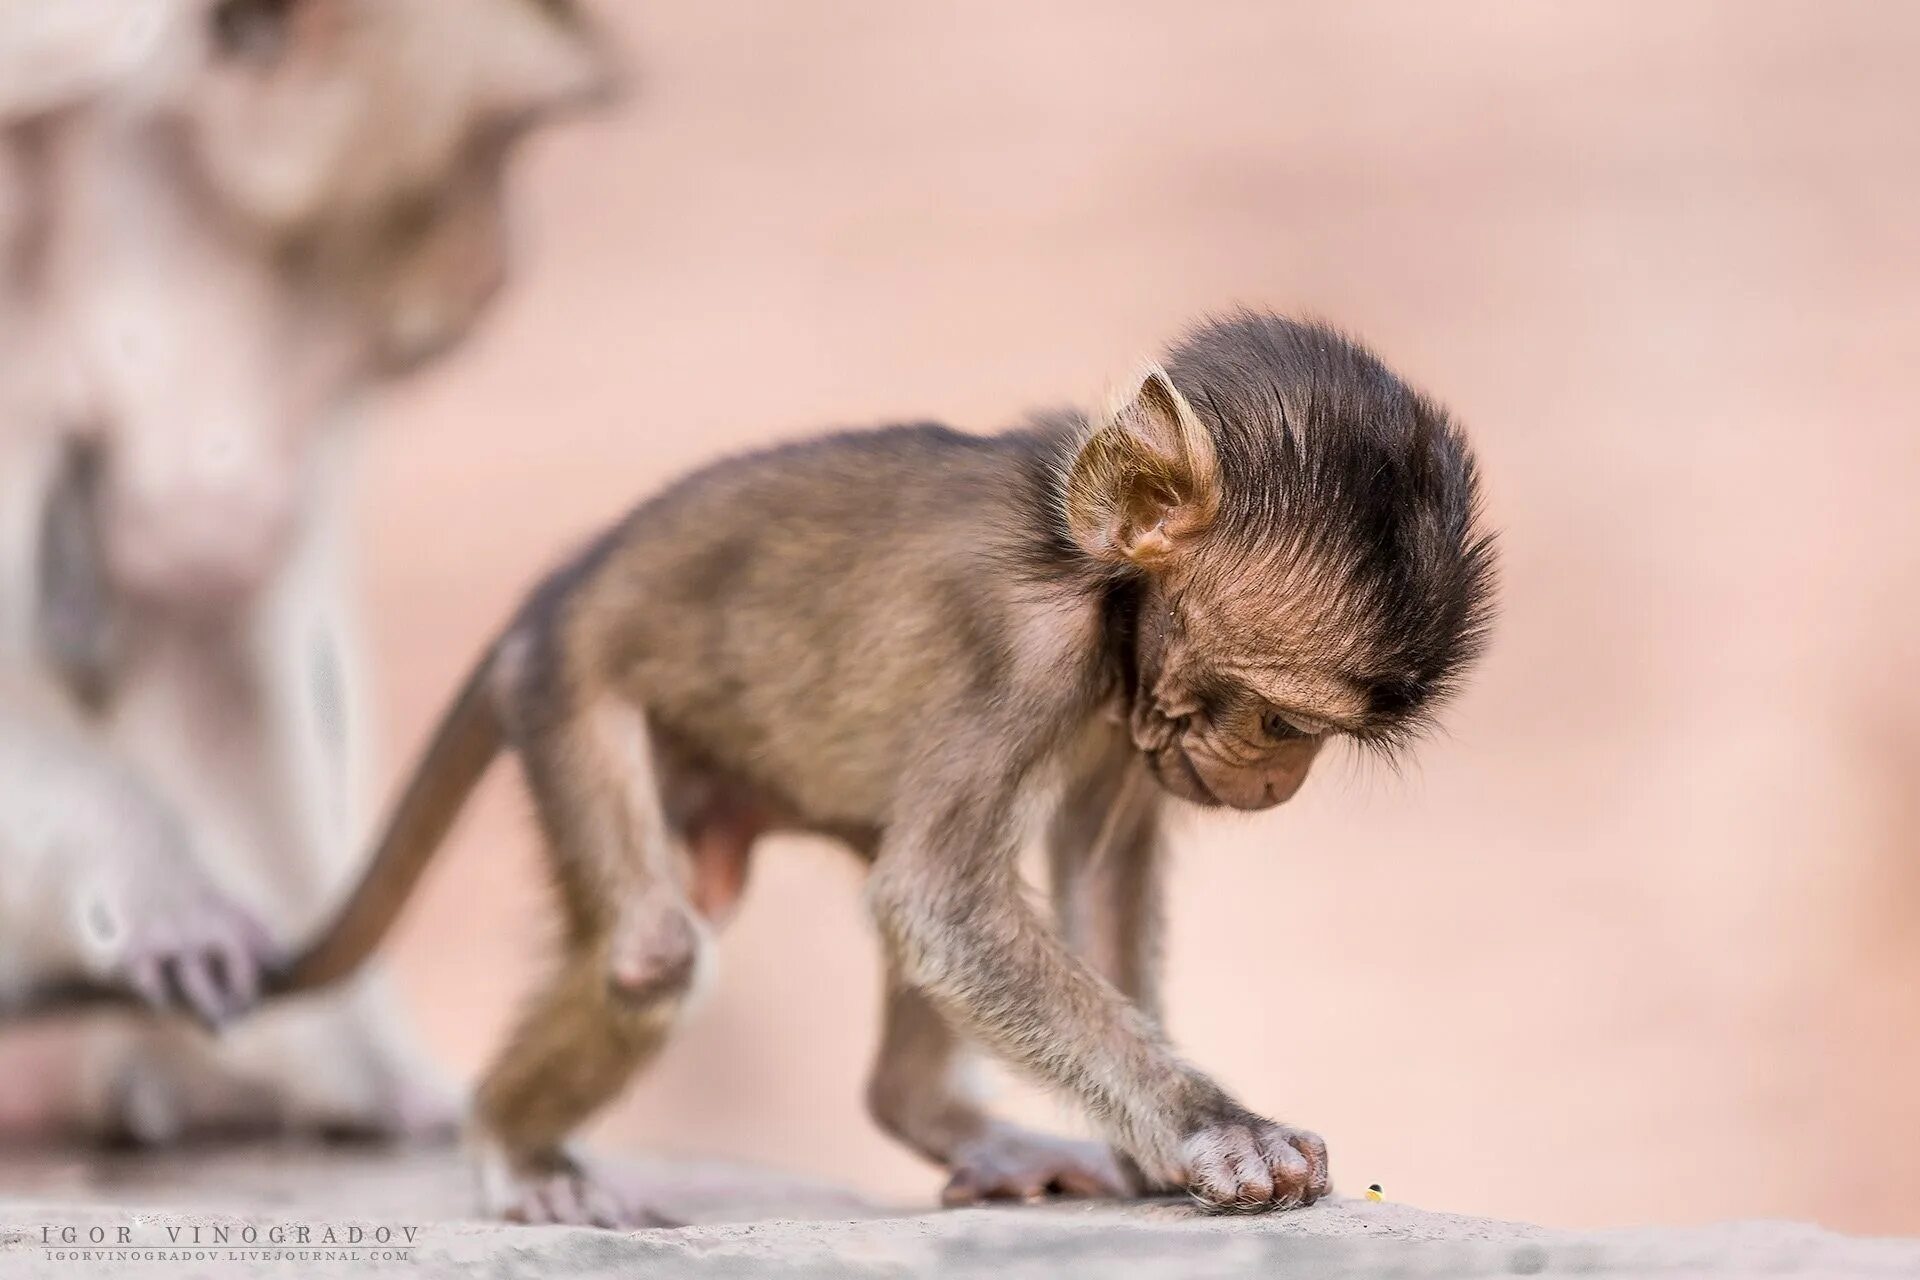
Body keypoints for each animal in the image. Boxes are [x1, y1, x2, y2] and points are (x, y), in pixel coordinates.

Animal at [278, 307, 1497, 1220]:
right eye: (1284, 724)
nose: (1280, 781)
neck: (1091, 578)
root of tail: (551, 596)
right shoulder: (1028, 652)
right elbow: (938, 896)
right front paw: (1213, 1129)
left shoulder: (1129, 708)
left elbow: (1081, 876)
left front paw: (1156, 1143)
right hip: (569, 693)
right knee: (654, 949)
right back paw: (513, 1144)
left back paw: (935, 1116)